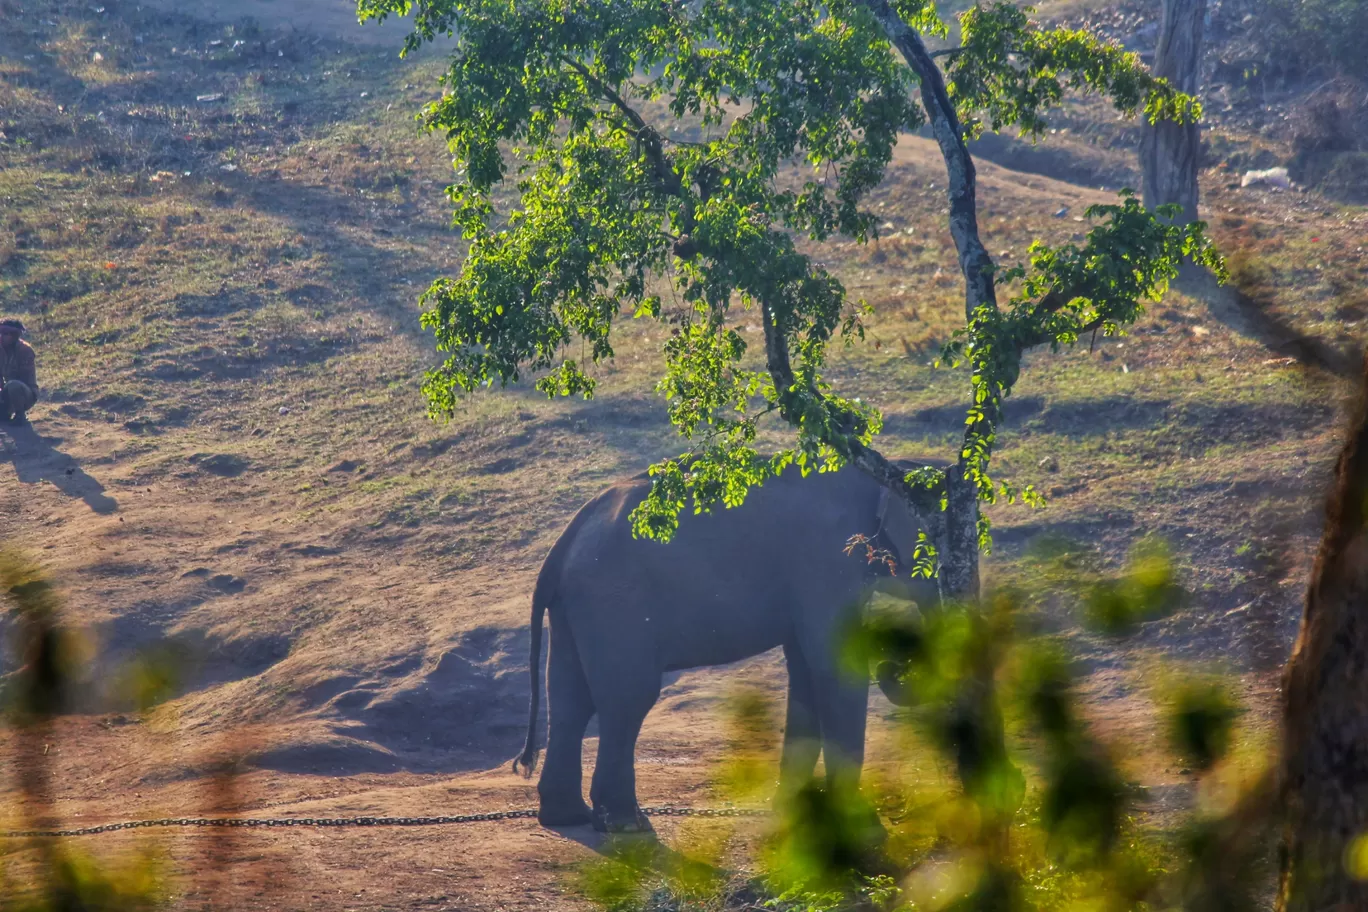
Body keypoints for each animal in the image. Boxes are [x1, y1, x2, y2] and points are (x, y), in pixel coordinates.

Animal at [514, 467, 941, 831]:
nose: (891, 666)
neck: (892, 475)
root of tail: (564, 541)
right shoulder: (828, 560)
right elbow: (832, 665)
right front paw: (865, 830)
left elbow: (805, 672)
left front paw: (794, 812)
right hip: (615, 601)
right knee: (628, 698)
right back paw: (625, 825)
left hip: (577, 604)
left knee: (570, 699)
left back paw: (569, 817)